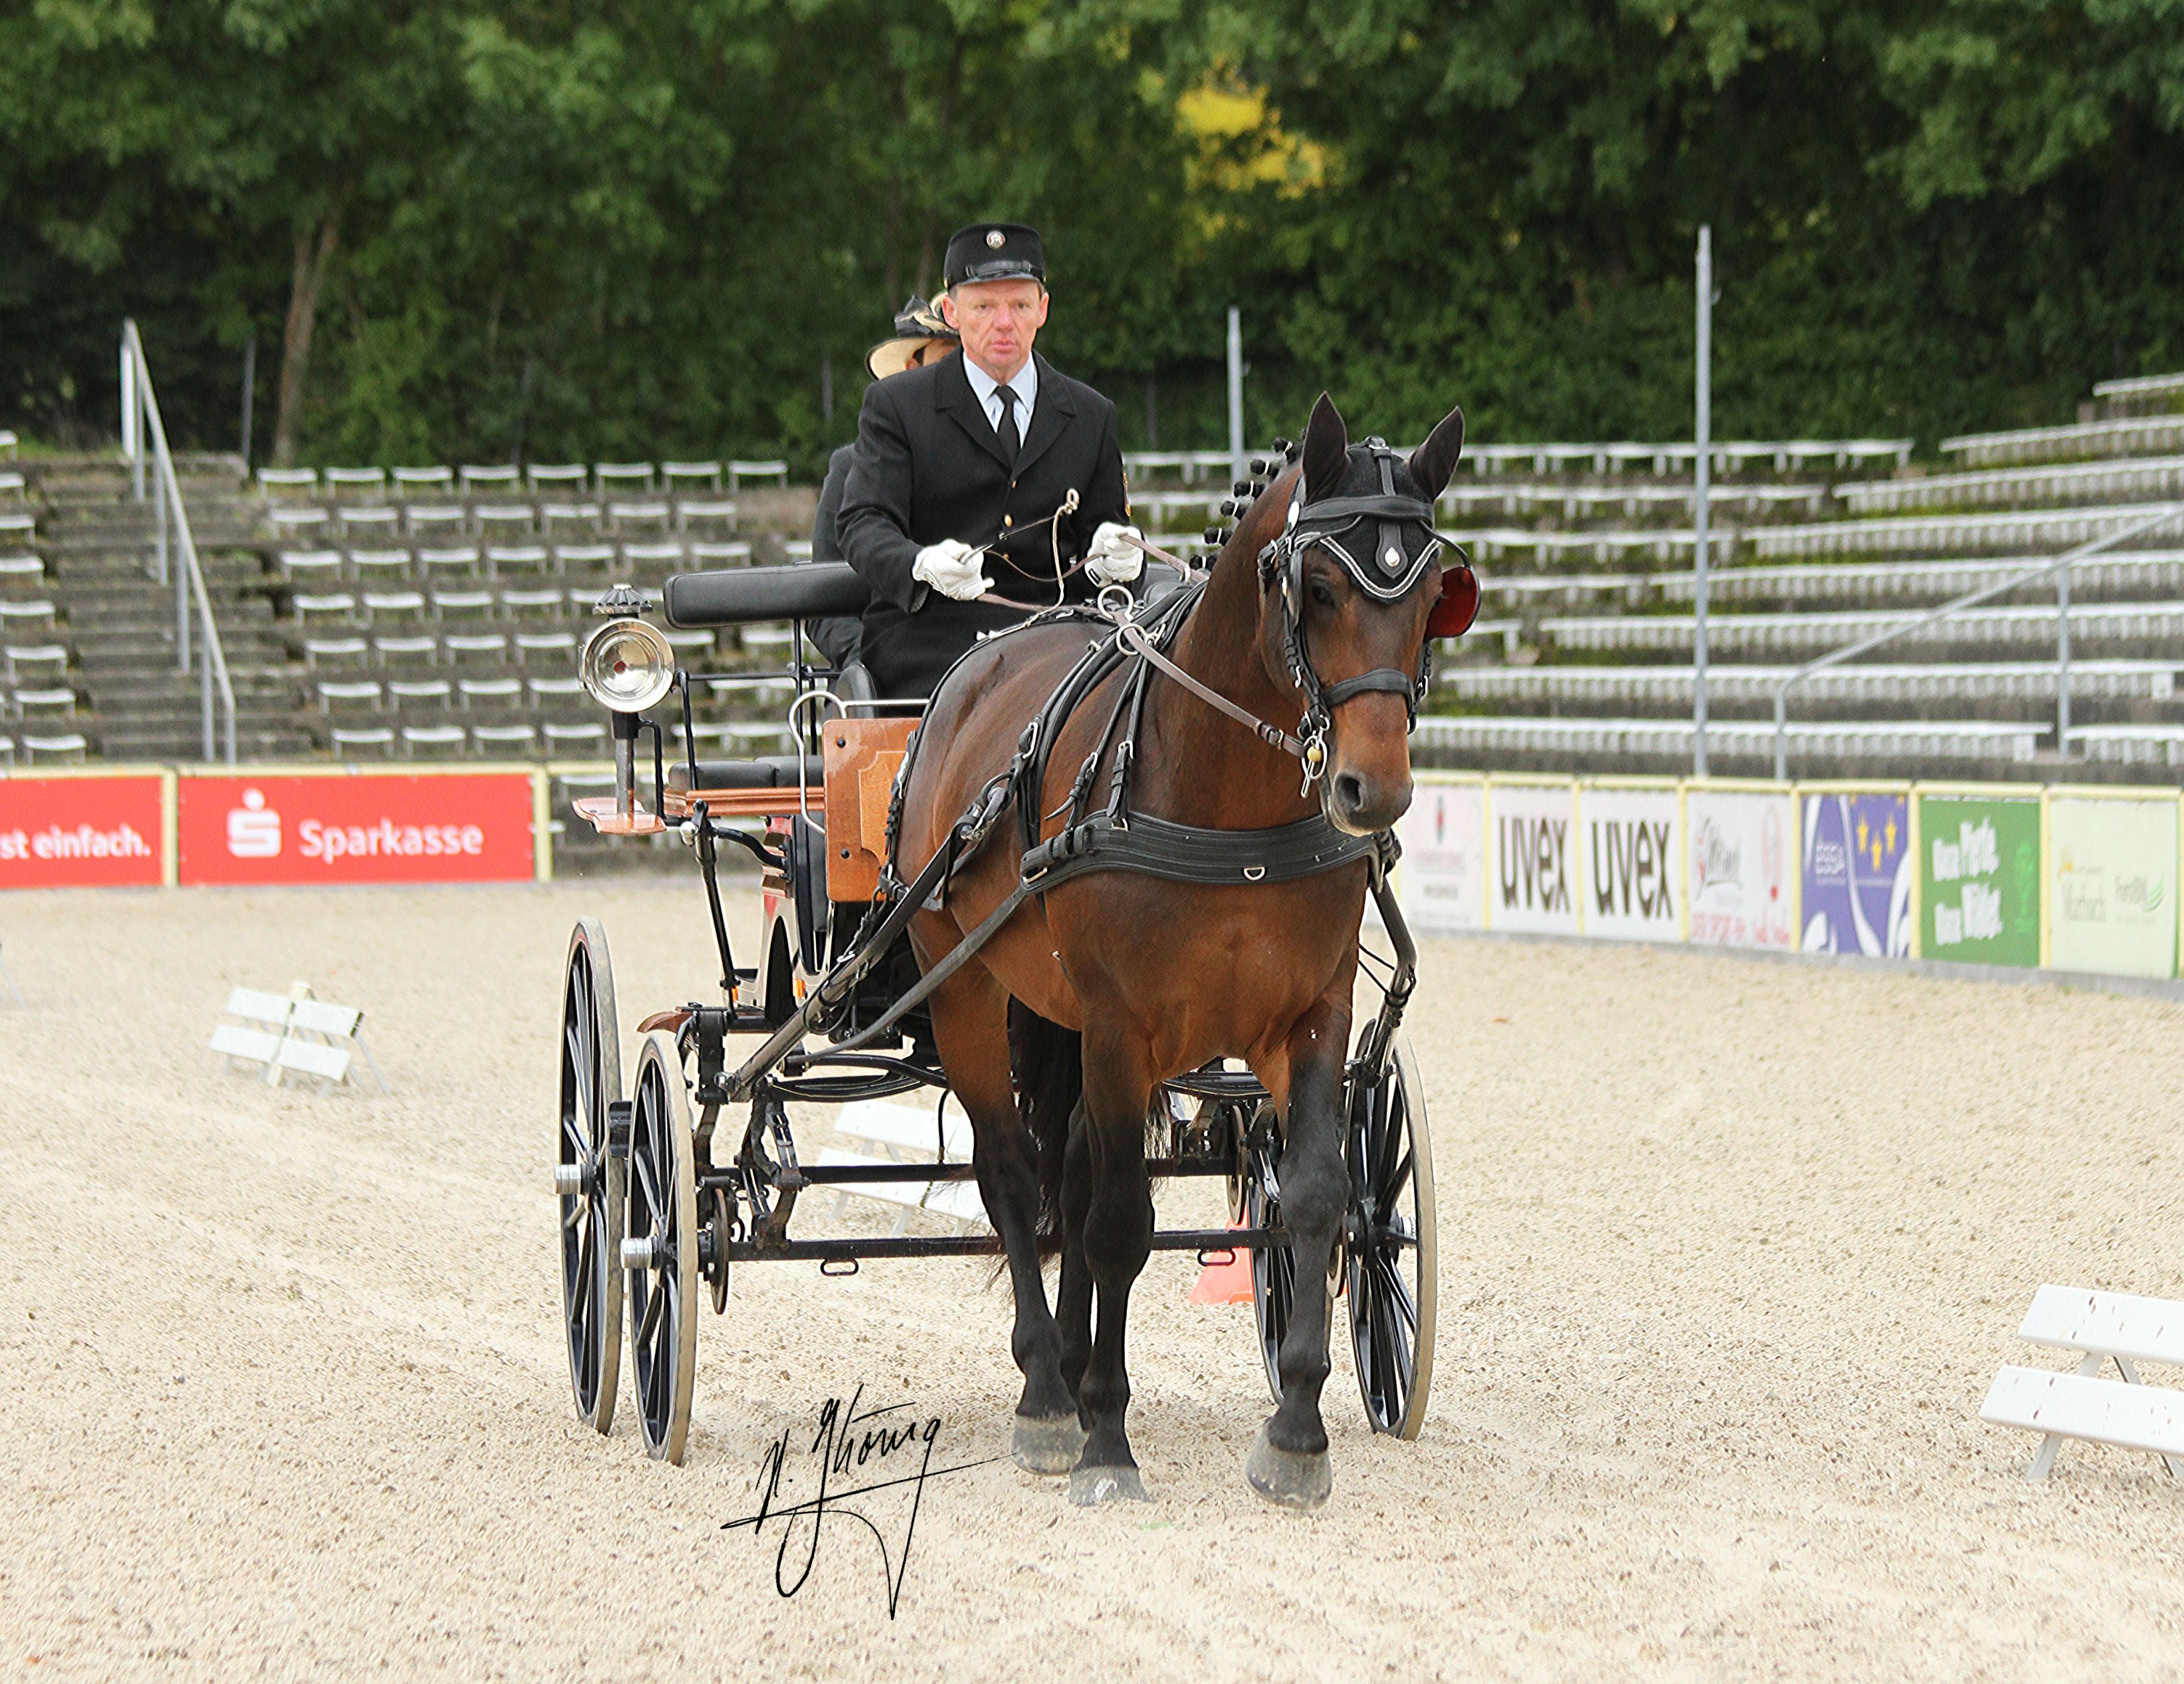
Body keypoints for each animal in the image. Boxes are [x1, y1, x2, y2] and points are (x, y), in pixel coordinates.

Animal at [886, 397, 1467, 1511]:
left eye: (1431, 597)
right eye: (1317, 587)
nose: (1372, 789)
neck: (1225, 795)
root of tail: (980, 662)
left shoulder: (1312, 1014)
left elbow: (1317, 1198)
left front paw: (1295, 1433)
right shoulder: (1124, 1022)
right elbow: (1121, 1221)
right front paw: (1108, 1440)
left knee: (1067, 1166)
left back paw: (1073, 1369)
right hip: (966, 985)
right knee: (1014, 1175)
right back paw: (1048, 1393)